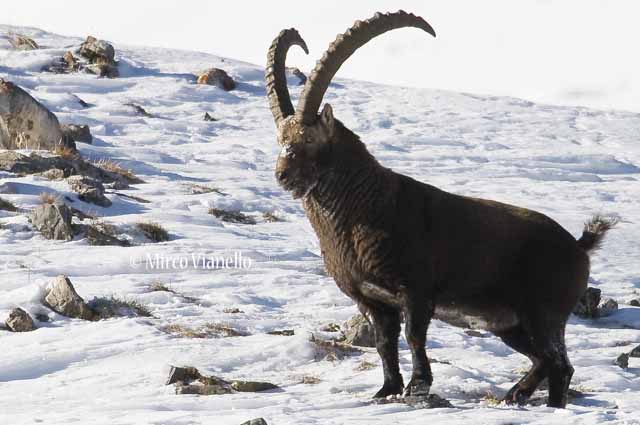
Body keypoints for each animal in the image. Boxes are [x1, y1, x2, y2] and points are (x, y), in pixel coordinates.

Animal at [265, 11, 616, 408]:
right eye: (280, 139)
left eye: (308, 138)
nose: (282, 175)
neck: (363, 211)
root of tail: (579, 245)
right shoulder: (372, 301)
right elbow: (384, 344)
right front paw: (386, 390)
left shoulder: (416, 292)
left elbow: (414, 337)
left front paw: (418, 387)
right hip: (511, 325)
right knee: (546, 361)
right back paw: (516, 393)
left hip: (543, 313)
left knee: (560, 365)